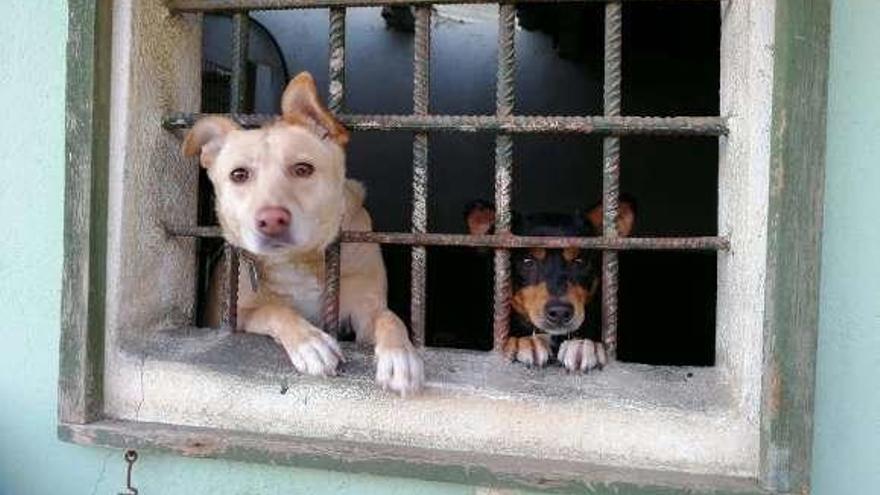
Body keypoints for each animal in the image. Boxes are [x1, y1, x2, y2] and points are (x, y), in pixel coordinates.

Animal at [182, 70, 422, 396]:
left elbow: (389, 317)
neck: (297, 259)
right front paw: (310, 342)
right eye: (239, 175)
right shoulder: (237, 315)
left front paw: (400, 355)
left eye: (303, 169)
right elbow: (276, 310)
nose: (272, 220)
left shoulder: (366, 308)